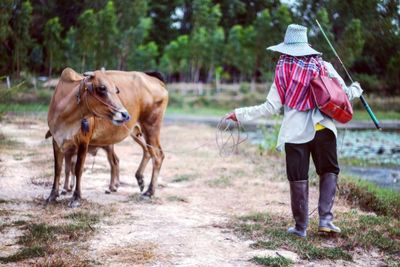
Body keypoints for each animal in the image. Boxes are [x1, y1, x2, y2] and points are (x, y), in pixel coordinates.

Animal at [47, 68, 168, 208]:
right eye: (102, 88)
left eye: (116, 90)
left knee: (158, 156)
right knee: (147, 151)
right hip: (136, 132)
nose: (125, 114)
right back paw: (139, 180)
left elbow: (77, 169)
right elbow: (58, 168)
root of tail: (156, 80)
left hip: (151, 128)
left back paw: (149, 191)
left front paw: (76, 197)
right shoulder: (56, 141)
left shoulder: (83, 142)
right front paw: (52, 195)